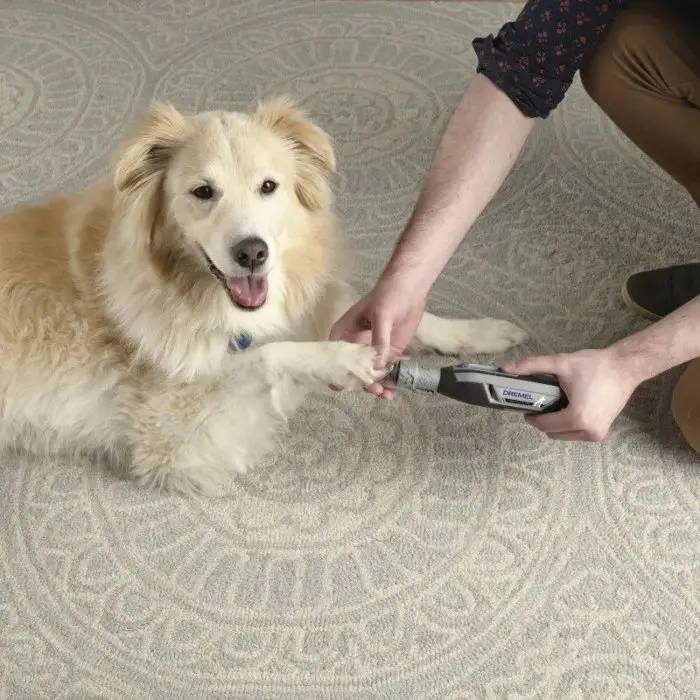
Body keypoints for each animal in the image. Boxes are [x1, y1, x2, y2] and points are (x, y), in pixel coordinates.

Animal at [0, 98, 528, 494]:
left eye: (269, 186)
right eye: (203, 192)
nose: (253, 253)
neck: (190, 292)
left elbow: (384, 313)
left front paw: (481, 335)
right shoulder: (175, 440)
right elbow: (267, 356)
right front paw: (343, 360)